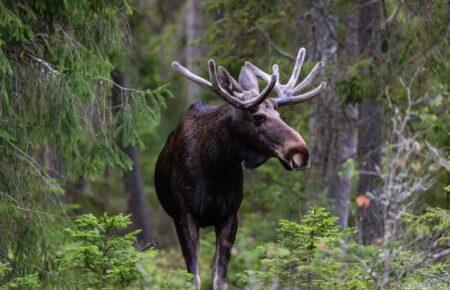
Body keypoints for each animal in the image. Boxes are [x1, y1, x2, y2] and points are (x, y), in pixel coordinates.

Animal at [155, 48, 324, 288]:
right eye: (257, 117)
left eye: (279, 114)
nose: (301, 153)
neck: (216, 167)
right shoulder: (186, 216)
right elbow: (194, 277)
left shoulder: (230, 216)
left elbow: (219, 278)